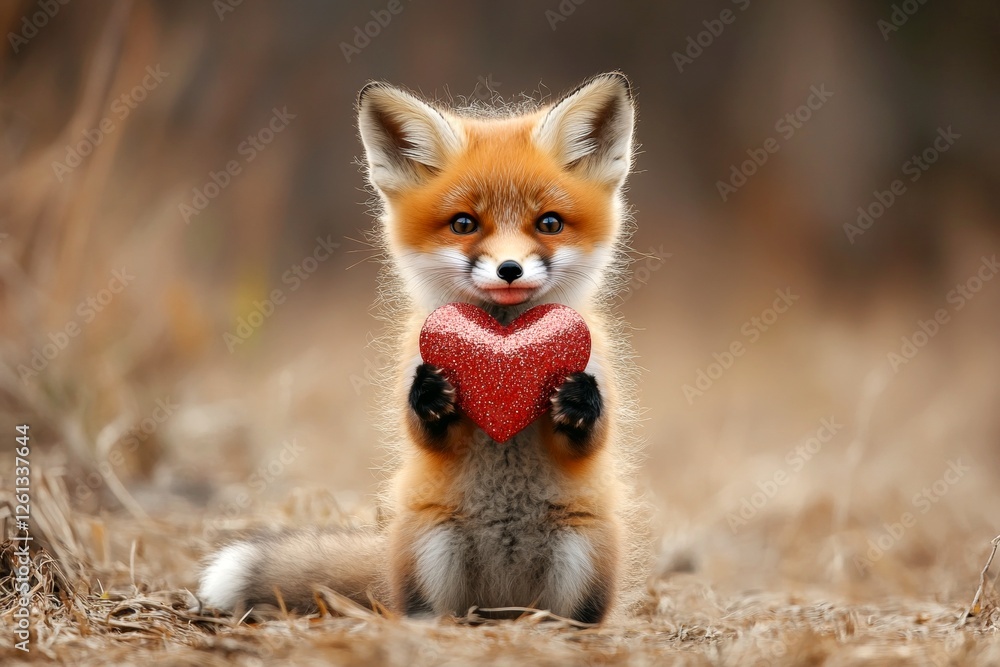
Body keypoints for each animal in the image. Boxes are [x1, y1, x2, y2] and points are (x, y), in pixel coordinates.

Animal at [198, 72, 647, 624]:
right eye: (463, 224)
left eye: (549, 223)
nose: (510, 269)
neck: (503, 334)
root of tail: (498, 606)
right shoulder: (415, 368)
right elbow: (423, 431)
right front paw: (431, 394)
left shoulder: (597, 374)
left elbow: (593, 436)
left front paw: (578, 398)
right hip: (431, 543)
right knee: (419, 607)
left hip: (581, 549)